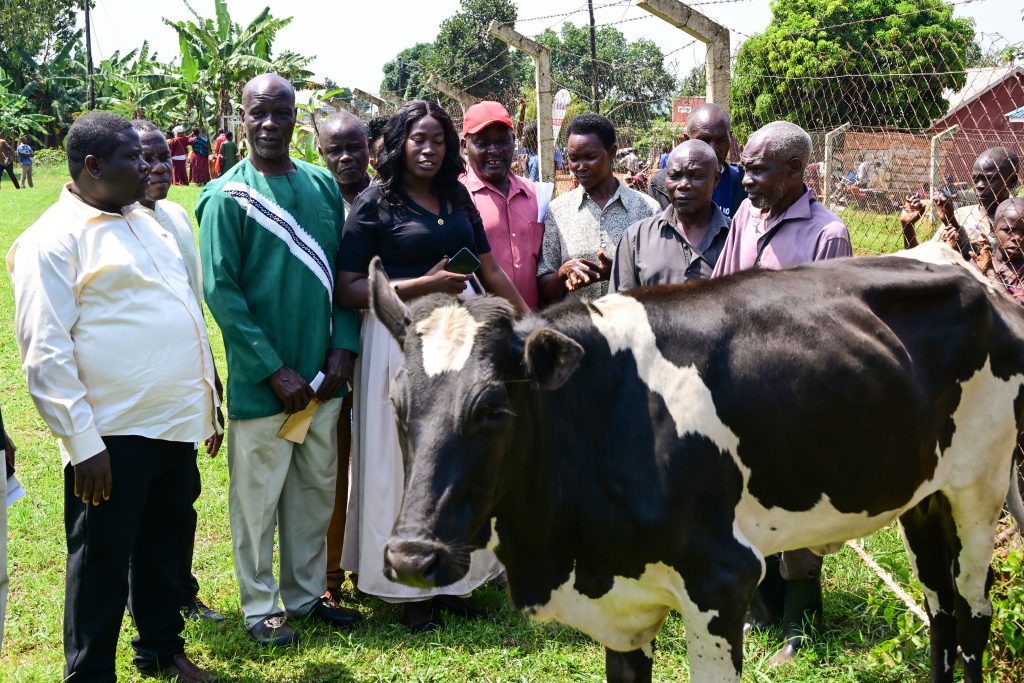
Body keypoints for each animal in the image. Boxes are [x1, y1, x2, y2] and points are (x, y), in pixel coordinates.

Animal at [372, 242, 1024, 679]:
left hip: (982, 487)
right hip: (924, 495)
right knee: (939, 608)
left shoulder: (721, 581)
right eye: (396, 403)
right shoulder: (621, 611)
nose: (411, 557)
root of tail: (973, 276)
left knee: (974, 612)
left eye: (492, 409)